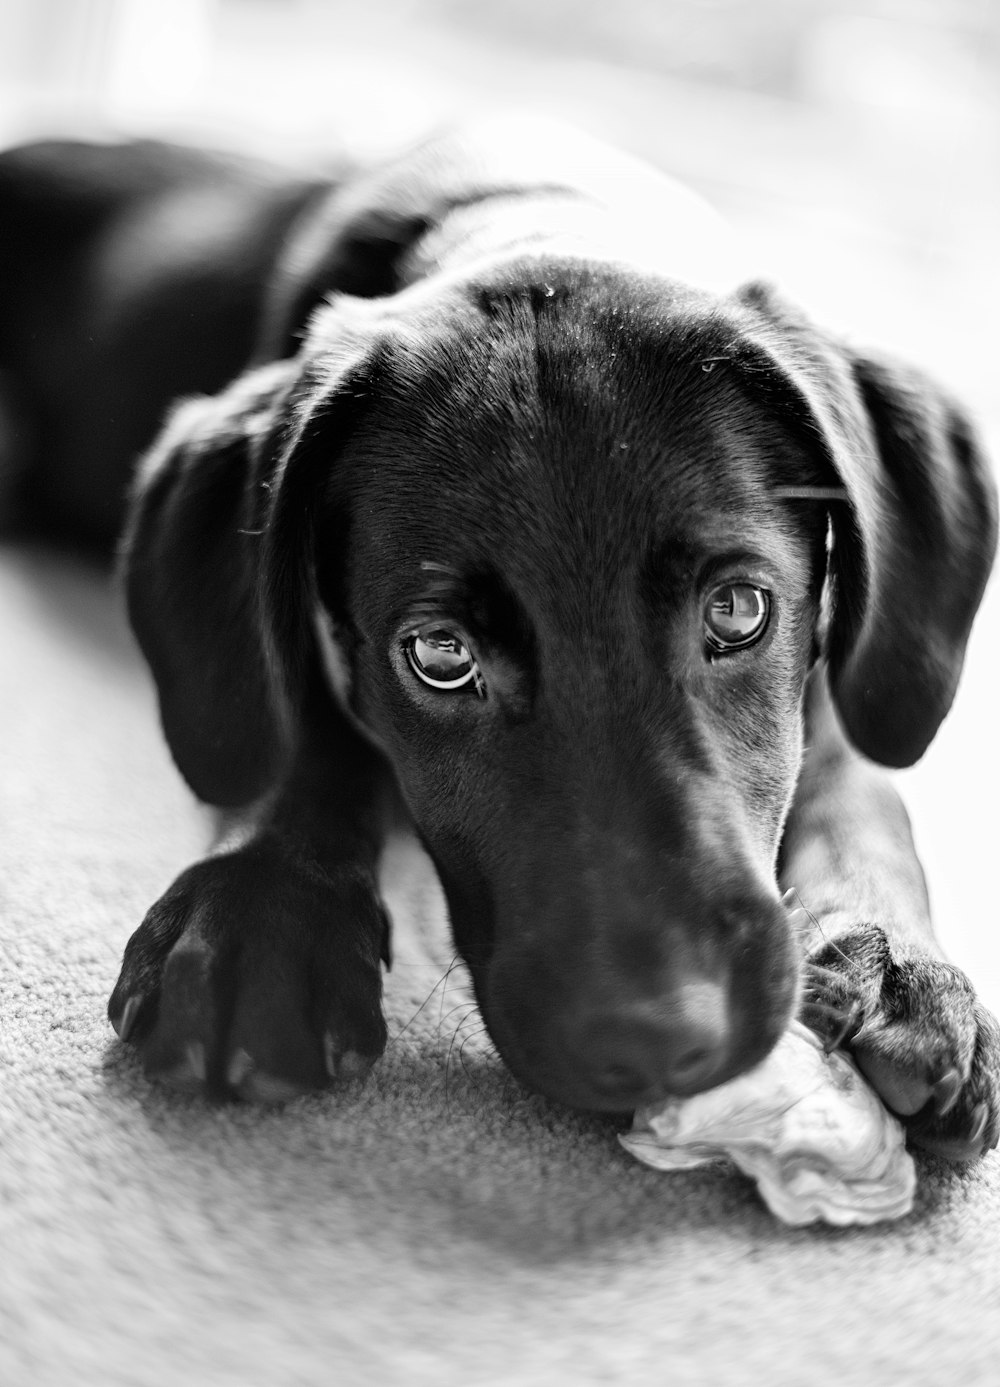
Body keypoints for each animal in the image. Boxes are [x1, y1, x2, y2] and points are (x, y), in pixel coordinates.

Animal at [3, 110, 993, 1159]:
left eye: (737, 610)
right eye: (442, 655)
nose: (656, 1041)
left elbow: (862, 790)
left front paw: (898, 964)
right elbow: (304, 727)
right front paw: (259, 908)